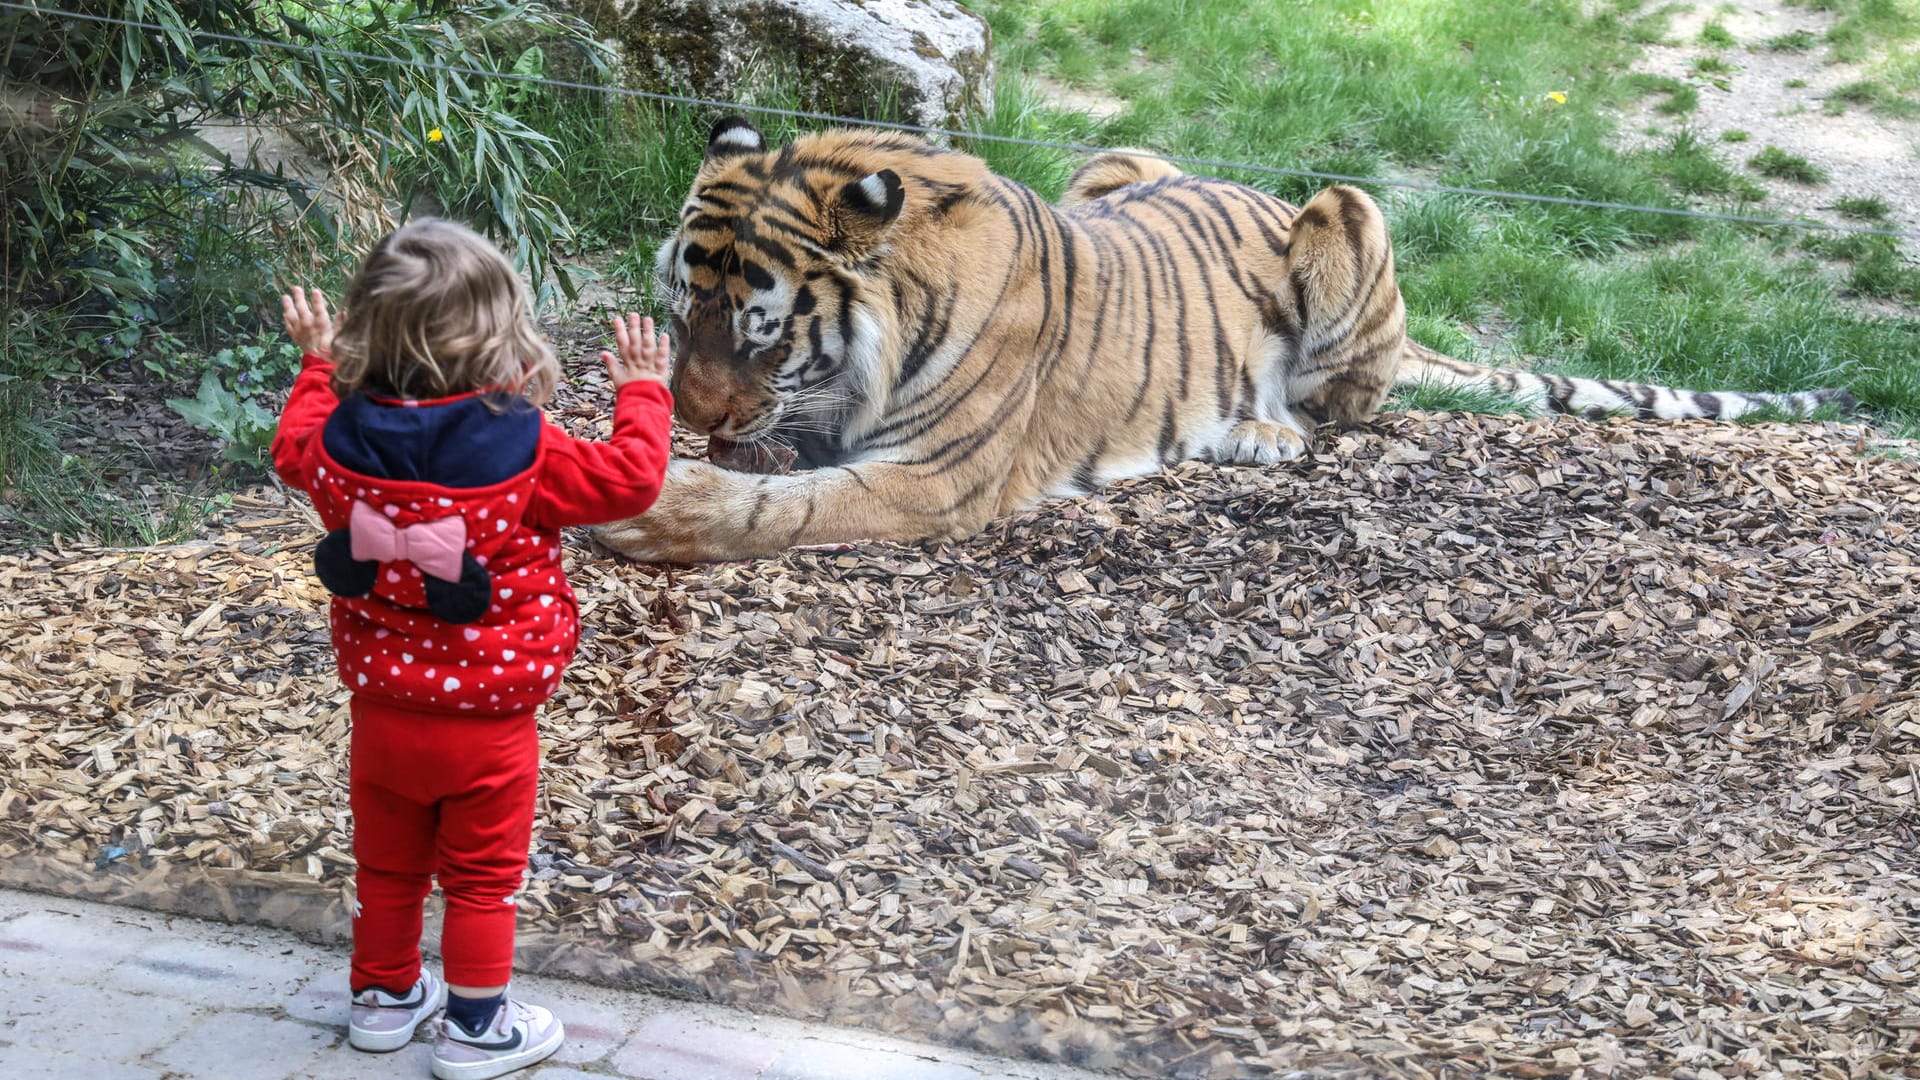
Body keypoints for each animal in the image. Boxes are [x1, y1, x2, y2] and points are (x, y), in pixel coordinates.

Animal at [587, 118, 1858, 564]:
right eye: (682, 313)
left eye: (759, 335)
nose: (697, 411)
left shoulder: (931, 477)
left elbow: (776, 510)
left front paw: (661, 510)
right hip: (1119, 159)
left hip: (1350, 210)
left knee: (1350, 411)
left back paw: (1264, 435)